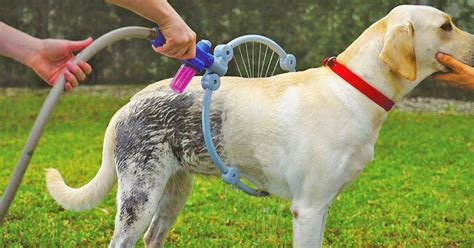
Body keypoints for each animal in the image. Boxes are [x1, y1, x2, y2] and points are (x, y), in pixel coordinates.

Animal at [44, 4, 470, 247]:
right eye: (447, 26)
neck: (354, 89)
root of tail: (129, 104)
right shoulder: (308, 209)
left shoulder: (322, 205)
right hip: (139, 196)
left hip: (174, 190)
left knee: (152, 238)